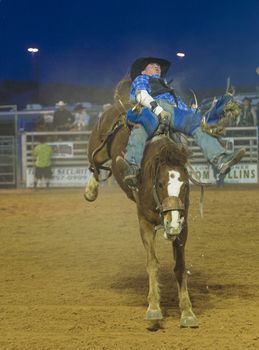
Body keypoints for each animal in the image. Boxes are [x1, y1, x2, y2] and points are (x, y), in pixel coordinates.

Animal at [84, 80, 198, 328]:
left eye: (185, 184)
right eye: (161, 184)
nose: (171, 224)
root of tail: (124, 101)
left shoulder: (183, 225)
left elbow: (180, 266)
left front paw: (187, 311)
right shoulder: (144, 222)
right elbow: (152, 263)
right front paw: (154, 308)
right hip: (98, 145)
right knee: (94, 163)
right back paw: (90, 191)